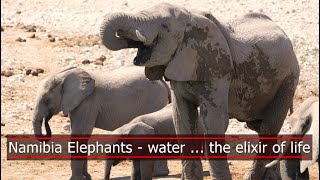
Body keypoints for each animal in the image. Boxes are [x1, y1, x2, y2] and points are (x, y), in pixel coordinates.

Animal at [32, 65, 171, 179]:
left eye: (46, 100)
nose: (47, 119)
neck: (63, 76)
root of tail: (163, 83)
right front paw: (87, 177)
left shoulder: (88, 102)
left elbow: (80, 133)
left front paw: (76, 179)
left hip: (154, 101)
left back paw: (158, 174)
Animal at [100, 3, 300, 180]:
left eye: (164, 25)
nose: (128, 37)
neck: (191, 18)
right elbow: (182, 120)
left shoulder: (217, 69)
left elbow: (212, 121)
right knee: (258, 125)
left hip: (288, 80)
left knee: (269, 127)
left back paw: (252, 177)